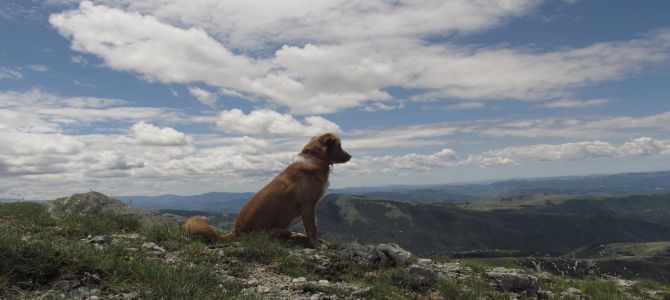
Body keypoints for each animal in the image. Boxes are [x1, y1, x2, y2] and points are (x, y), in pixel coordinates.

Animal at [184, 132, 352, 247]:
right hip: (274, 230)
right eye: (339, 145)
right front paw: (316, 245)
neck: (315, 159)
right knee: (285, 233)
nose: (350, 156)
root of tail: (236, 231)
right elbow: (312, 229)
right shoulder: (308, 206)